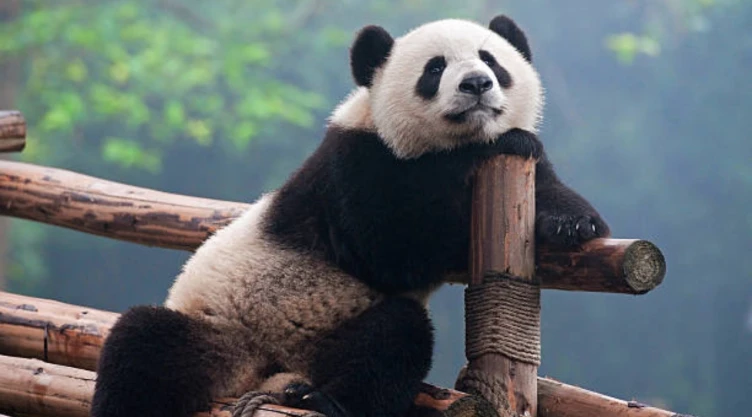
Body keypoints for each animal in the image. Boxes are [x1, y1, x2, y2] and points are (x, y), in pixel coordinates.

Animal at [91, 14, 609, 417]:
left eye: (491, 60)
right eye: (435, 68)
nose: (477, 84)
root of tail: (263, 374)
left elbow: (546, 184)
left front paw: (572, 223)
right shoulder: (355, 164)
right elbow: (392, 249)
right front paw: (484, 154)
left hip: (331, 335)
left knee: (387, 343)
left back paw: (318, 398)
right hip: (222, 329)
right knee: (142, 348)